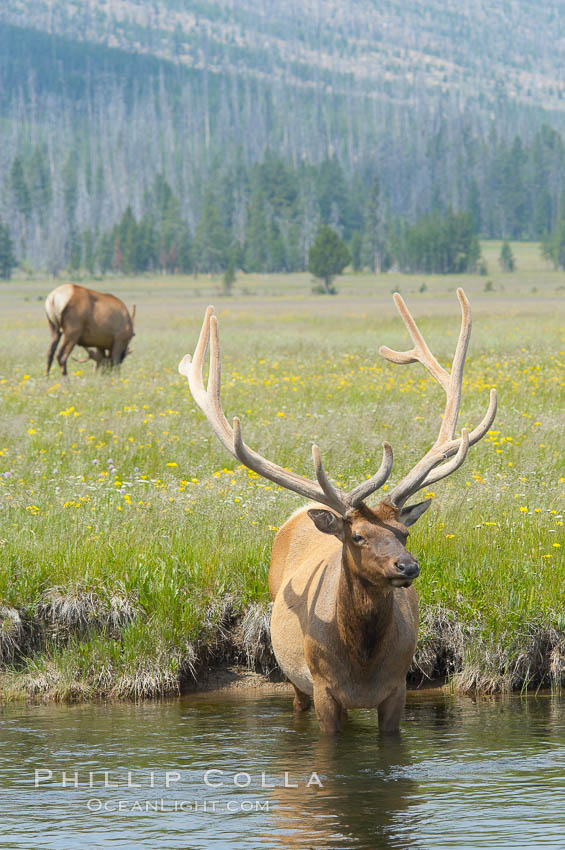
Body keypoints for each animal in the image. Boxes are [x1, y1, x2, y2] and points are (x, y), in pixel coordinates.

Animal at [178, 290, 496, 728]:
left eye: (404, 532)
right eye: (358, 535)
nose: (408, 566)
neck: (362, 666)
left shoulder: (397, 689)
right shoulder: (325, 690)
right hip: (292, 674)